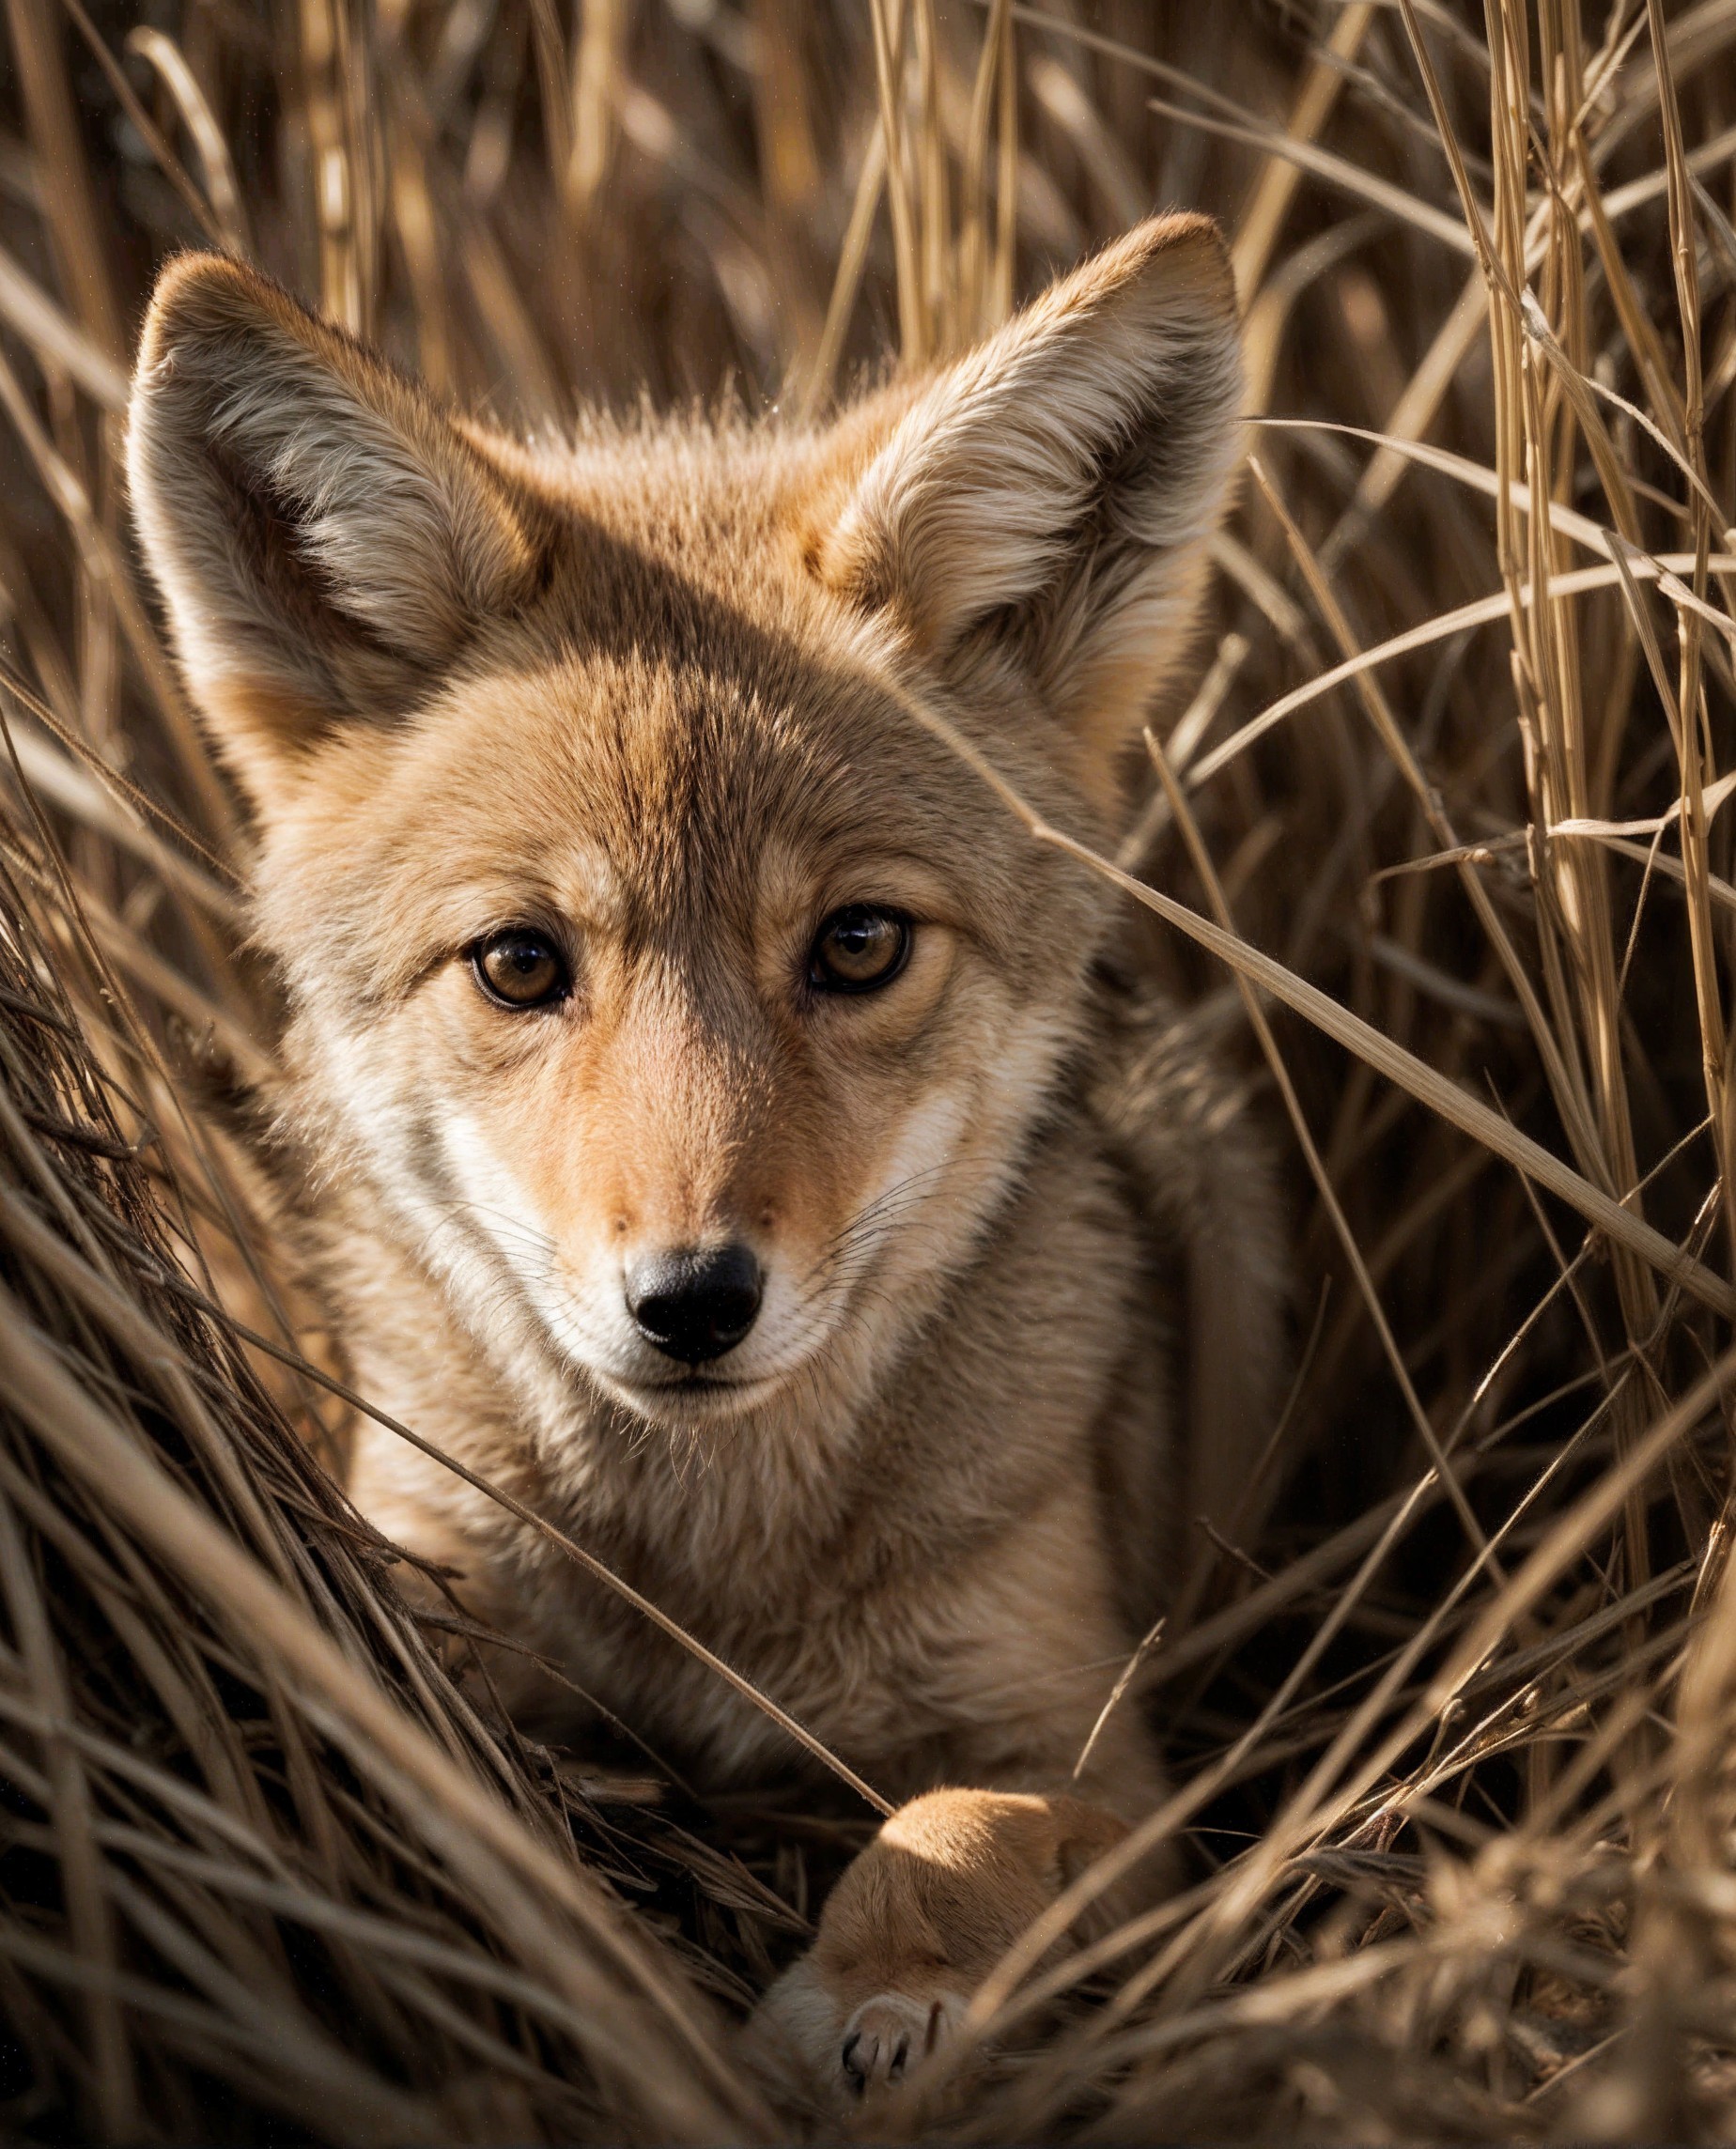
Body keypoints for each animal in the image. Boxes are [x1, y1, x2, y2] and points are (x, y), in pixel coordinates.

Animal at [126, 212, 1285, 2113]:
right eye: (521, 962)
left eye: (860, 944)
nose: (689, 1304)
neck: (715, 1579)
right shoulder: (418, 1609)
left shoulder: (1111, 1756)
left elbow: (958, 1825)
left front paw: (876, 1992)